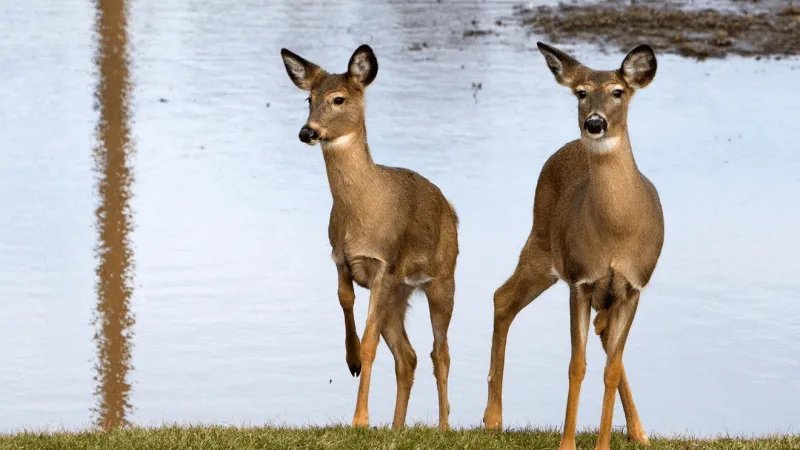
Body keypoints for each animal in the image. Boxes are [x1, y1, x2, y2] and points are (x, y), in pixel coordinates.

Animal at [279, 44, 459, 430]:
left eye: (338, 98)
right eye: (308, 98)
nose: (307, 131)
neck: (360, 213)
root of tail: (449, 208)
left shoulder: (385, 266)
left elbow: (369, 343)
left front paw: (360, 419)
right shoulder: (341, 259)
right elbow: (345, 300)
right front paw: (351, 362)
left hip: (443, 279)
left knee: (440, 352)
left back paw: (443, 427)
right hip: (400, 293)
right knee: (408, 356)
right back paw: (397, 426)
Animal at [481, 42, 664, 450]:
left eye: (618, 91)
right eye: (581, 93)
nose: (594, 123)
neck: (616, 234)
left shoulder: (633, 286)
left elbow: (611, 367)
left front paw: (604, 444)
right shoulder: (580, 281)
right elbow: (576, 366)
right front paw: (567, 443)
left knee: (603, 334)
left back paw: (640, 431)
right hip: (541, 241)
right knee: (503, 297)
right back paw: (492, 417)